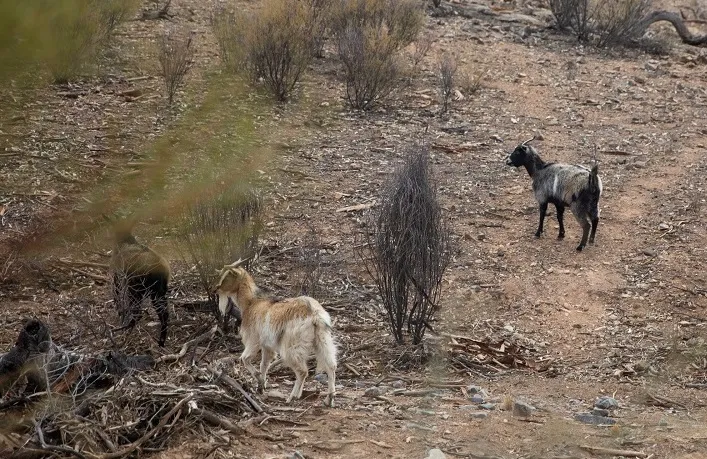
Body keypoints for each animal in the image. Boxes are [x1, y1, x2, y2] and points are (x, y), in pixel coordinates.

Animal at [216, 260, 338, 408]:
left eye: (227, 276)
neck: (252, 303)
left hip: (292, 345)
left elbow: (245, 359)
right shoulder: (267, 346)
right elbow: (264, 365)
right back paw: (329, 399)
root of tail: (314, 314)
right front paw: (261, 386)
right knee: (331, 366)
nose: (215, 289)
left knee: (302, 371)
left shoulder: (253, 340)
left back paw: (292, 397)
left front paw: (259, 380)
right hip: (322, 339)